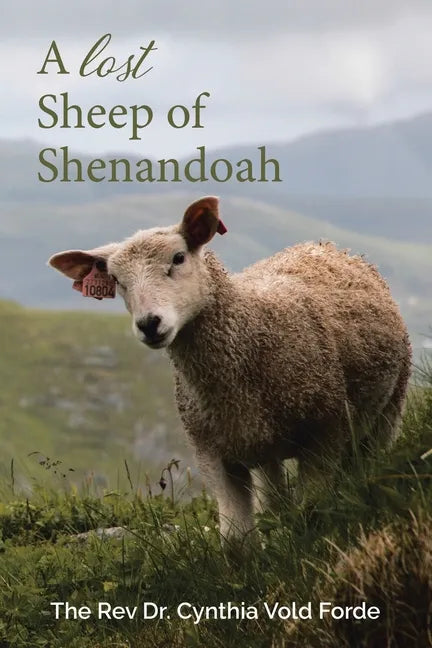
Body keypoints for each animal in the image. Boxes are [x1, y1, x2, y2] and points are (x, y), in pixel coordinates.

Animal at [48, 196, 412, 541]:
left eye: (178, 258)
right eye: (115, 280)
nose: (149, 324)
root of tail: (323, 245)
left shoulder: (326, 432)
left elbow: (311, 512)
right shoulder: (214, 454)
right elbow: (237, 541)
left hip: (389, 405)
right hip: (262, 445)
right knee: (274, 498)